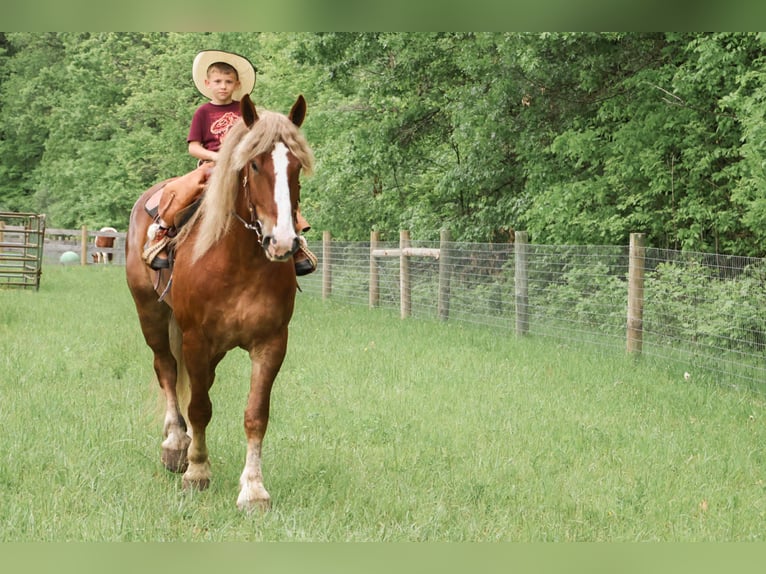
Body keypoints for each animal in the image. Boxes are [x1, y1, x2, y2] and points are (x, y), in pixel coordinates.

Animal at [125, 94, 314, 512]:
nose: (283, 241)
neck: (239, 261)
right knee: (167, 370)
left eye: (296, 165)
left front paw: (254, 490)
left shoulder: (271, 343)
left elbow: (255, 414)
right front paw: (197, 472)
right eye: (254, 164)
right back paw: (175, 445)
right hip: (151, 315)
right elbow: (199, 407)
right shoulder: (196, 339)